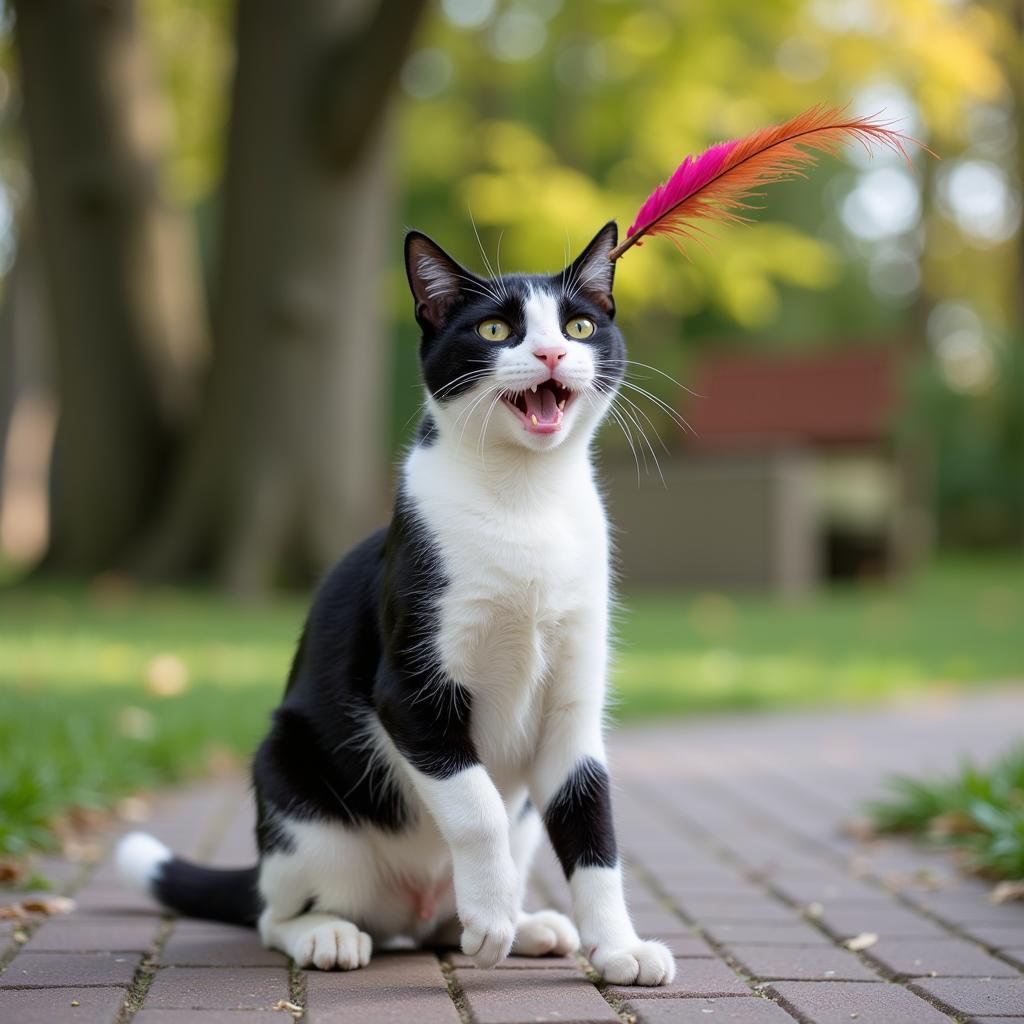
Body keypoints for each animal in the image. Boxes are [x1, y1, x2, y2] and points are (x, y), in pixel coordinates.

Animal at [116, 222, 675, 983]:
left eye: (579, 325)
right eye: (496, 329)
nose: (552, 352)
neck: (525, 502)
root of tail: (409, 913)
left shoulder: (573, 708)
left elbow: (594, 828)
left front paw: (617, 946)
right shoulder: (409, 687)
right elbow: (475, 805)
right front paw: (492, 916)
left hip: (508, 830)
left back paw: (523, 925)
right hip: (292, 788)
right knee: (273, 914)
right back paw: (335, 932)